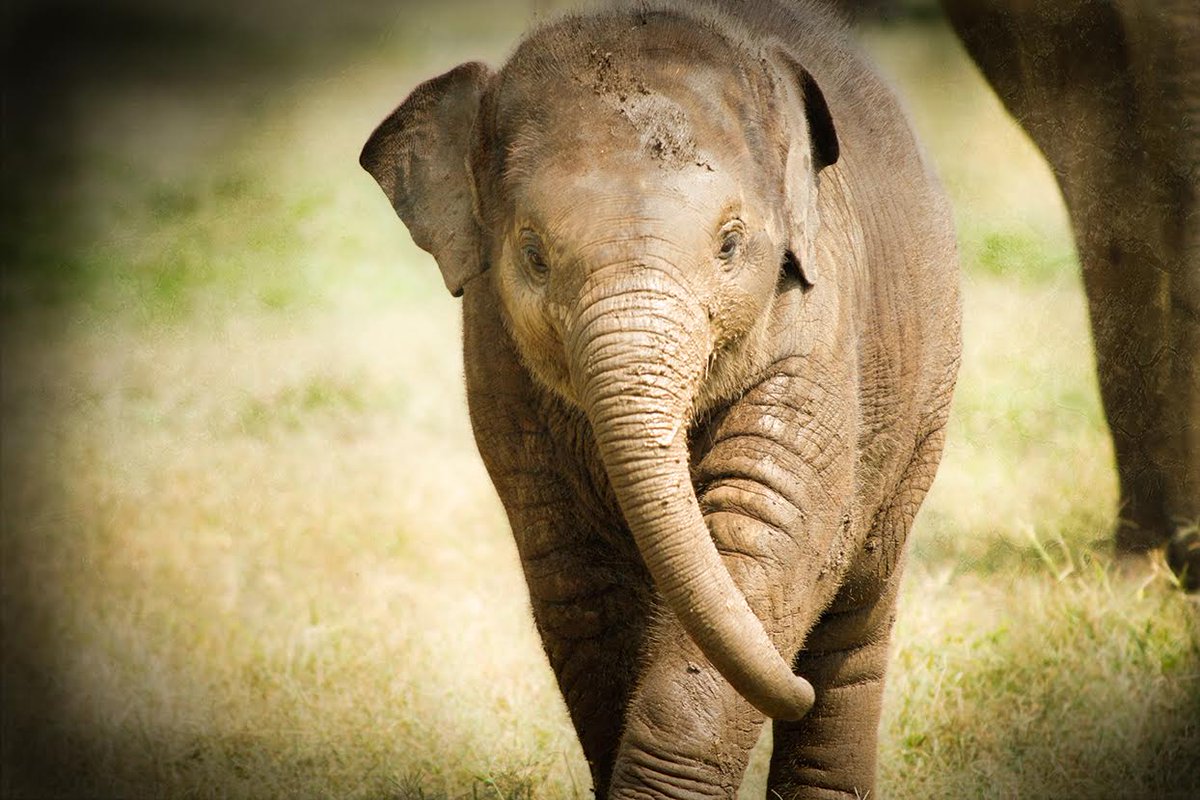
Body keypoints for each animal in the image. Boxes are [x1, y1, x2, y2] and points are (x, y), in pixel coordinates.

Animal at [360, 1, 960, 797]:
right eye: (532, 254)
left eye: (730, 244)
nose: (790, 689)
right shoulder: (496, 361)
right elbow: (578, 583)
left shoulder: (817, 323)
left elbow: (768, 532)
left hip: (924, 398)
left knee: (856, 611)